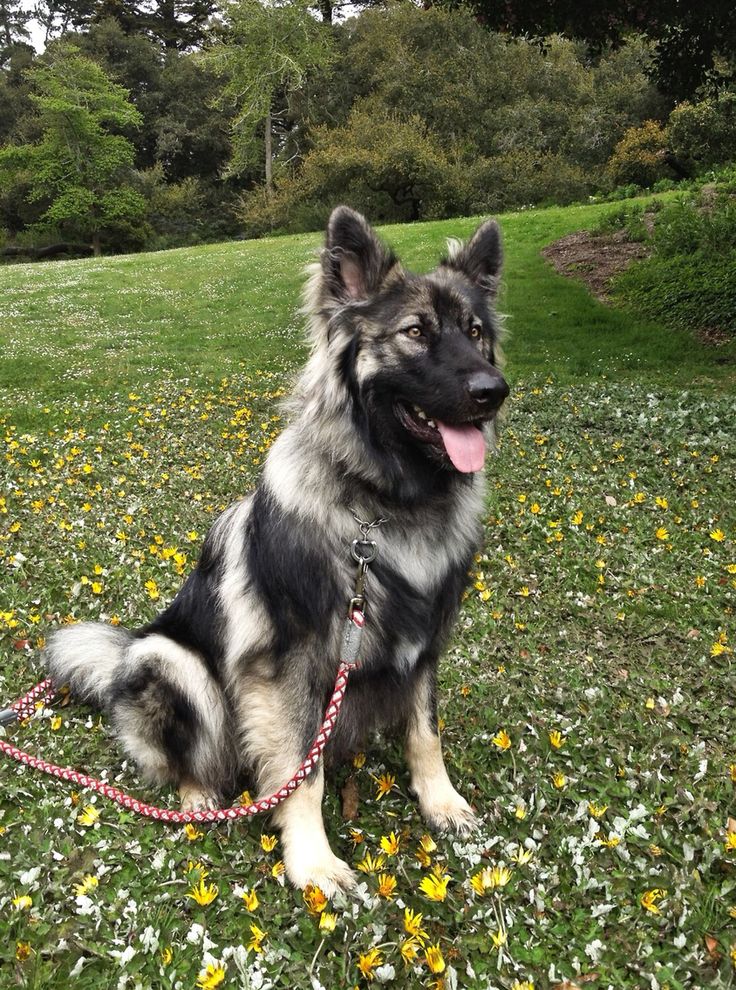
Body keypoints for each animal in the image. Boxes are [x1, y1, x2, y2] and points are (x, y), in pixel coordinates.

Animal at [44, 205, 506, 896]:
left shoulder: (424, 643)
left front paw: (440, 803)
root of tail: (126, 651)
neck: (385, 505)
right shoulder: (290, 666)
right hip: (172, 662)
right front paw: (312, 860)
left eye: (475, 332)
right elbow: (300, 774)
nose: (492, 390)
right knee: (194, 759)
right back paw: (197, 800)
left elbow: (425, 732)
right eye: (416, 332)